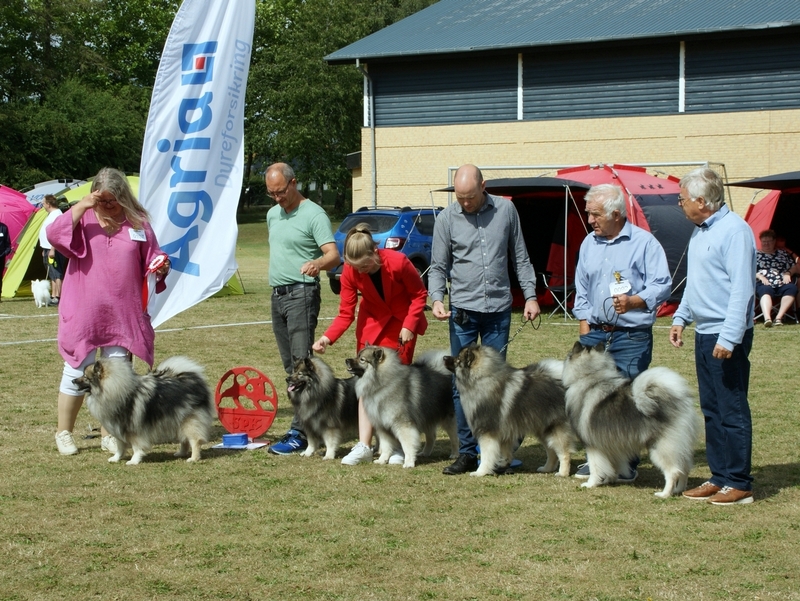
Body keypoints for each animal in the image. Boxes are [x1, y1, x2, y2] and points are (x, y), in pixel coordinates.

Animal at [72, 356, 214, 464]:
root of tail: (194, 380)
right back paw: (181, 453)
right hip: (177, 419)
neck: (115, 391)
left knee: (194, 440)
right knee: (184, 439)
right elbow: (120, 447)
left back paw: (193, 458)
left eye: (86, 377)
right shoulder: (118, 428)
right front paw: (116, 458)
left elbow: (136, 447)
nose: (73, 380)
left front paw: (134, 461)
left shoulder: (134, 429)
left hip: (189, 421)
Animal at [444, 344, 576, 476]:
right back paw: (546, 469)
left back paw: (562, 473)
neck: (482, 379)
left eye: (458, 360)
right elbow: (505, 452)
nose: (444, 357)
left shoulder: (487, 431)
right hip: (543, 429)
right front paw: (503, 465)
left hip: (554, 428)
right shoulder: (505, 433)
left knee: (564, 453)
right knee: (551, 451)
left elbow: (486, 455)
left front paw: (480, 472)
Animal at [560, 342, 696, 496]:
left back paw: (664, 494)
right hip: (680, 447)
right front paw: (609, 480)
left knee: (673, 472)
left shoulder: (593, 445)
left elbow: (596, 467)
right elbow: (612, 466)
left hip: (661, 447)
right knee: (684, 469)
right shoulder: (612, 445)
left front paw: (591, 484)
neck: (591, 377)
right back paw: (679, 490)